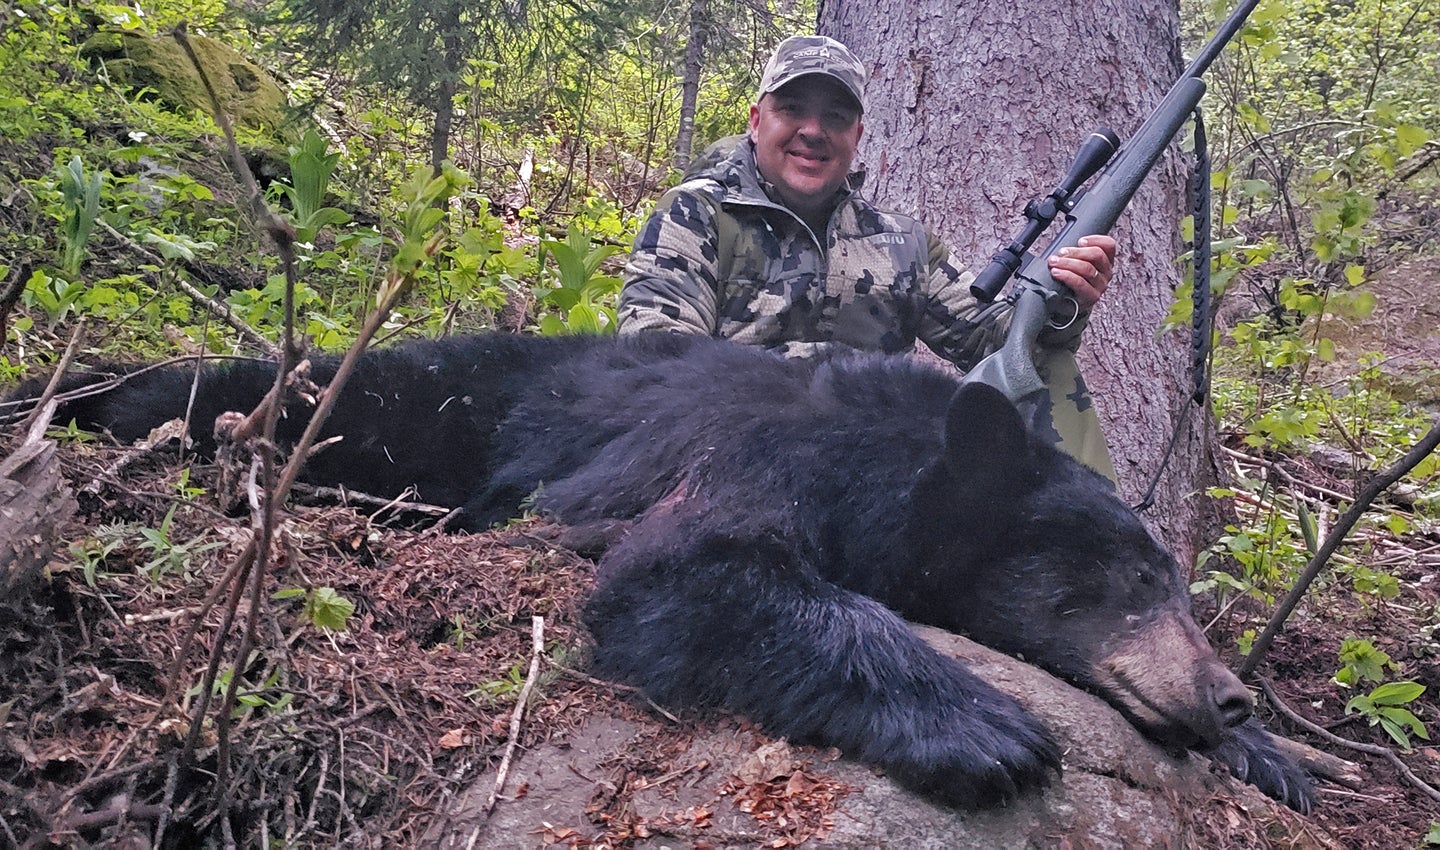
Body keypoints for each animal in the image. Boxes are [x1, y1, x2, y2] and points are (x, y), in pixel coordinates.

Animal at [7, 332, 1313, 811]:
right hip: (375, 407)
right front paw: (985, 726)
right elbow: (686, 568)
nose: (1230, 691)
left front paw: (1277, 758)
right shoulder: (751, 457)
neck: (890, 457)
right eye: (1130, 578)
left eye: (1177, 584)